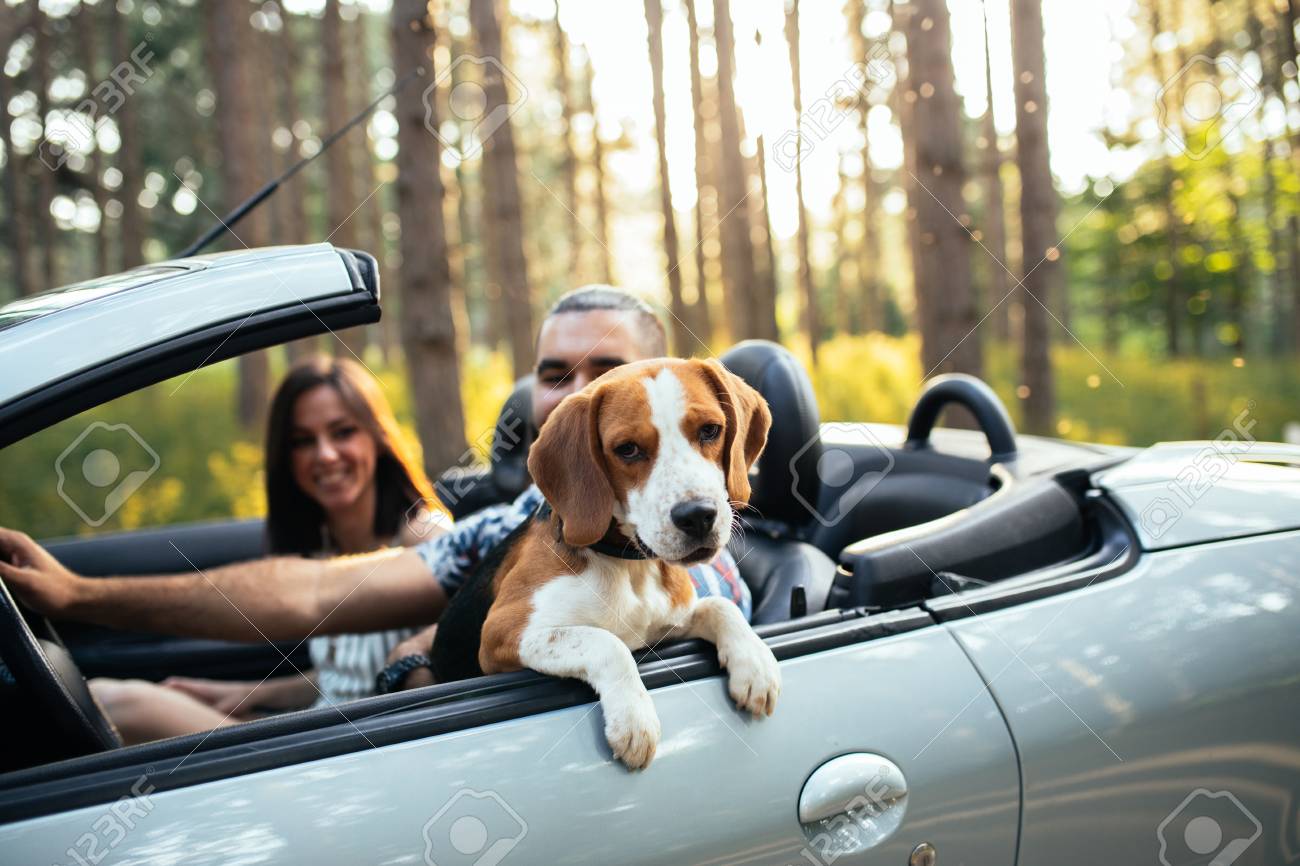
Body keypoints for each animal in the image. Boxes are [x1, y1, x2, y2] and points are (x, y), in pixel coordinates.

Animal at [431, 356, 780, 769]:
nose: (697, 516)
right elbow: (607, 642)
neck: (630, 566)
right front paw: (634, 719)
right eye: (627, 449)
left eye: (710, 430)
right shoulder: (504, 632)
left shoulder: (665, 623)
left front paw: (755, 664)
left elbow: (721, 607)